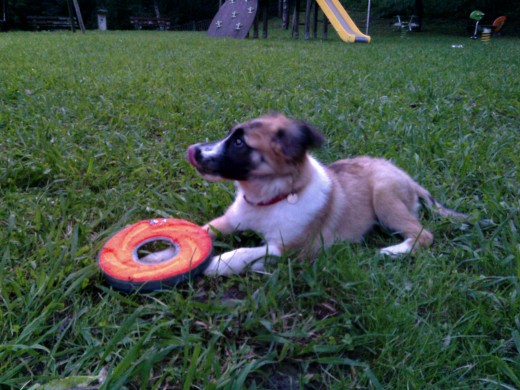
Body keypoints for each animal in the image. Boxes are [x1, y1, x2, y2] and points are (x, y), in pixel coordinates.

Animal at [185, 112, 466, 278]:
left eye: (239, 143)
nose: (192, 150)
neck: (270, 199)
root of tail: (409, 179)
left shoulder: (293, 249)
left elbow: (245, 252)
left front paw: (216, 264)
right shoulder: (230, 220)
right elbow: (203, 230)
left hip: (384, 196)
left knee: (423, 234)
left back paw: (393, 251)